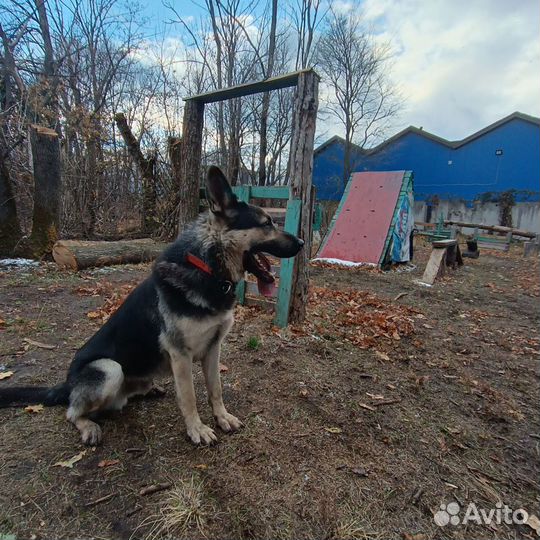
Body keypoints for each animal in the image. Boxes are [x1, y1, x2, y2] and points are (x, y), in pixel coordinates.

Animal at [0, 167, 304, 446]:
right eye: (267, 223)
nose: (302, 243)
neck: (207, 266)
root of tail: (66, 384)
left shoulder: (213, 349)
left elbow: (215, 388)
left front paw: (222, 417)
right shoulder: (180, 354)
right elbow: (189, 396)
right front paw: (197, 429)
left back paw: (146, 391)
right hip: (109, 369)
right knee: (72, 412)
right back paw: (88, 426)